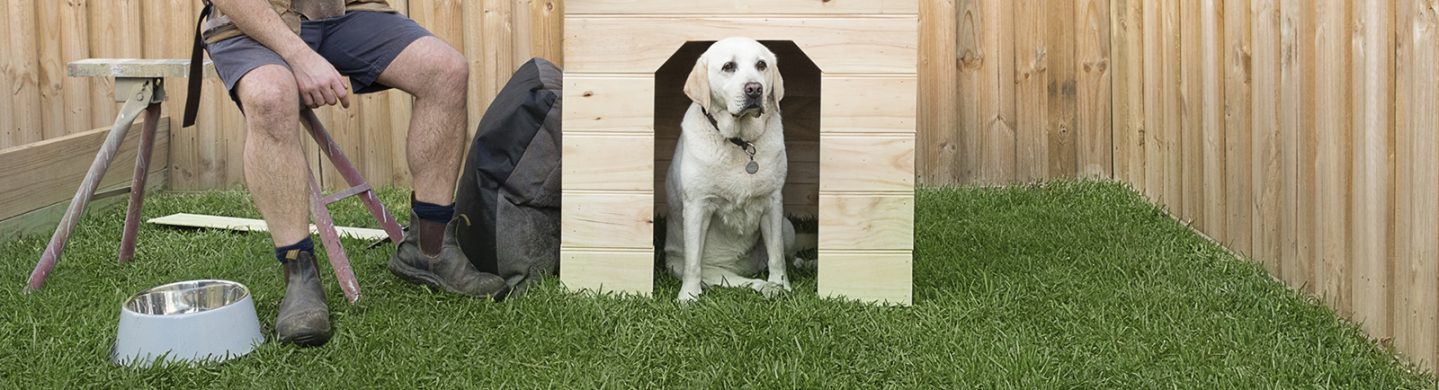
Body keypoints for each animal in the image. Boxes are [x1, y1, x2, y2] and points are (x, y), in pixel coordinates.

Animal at [664, 37, 811, 302]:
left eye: (761, 65)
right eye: (728, 66)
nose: (754, 89)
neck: (741, 142)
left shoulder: (772, 203)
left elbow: (777, 256)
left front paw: (782, 285)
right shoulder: (698, 206)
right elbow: (693, 264)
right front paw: (688, 296)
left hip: (787, 227)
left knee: (788, 258)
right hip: (698, 268)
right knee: (733, 280)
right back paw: (762, 286)